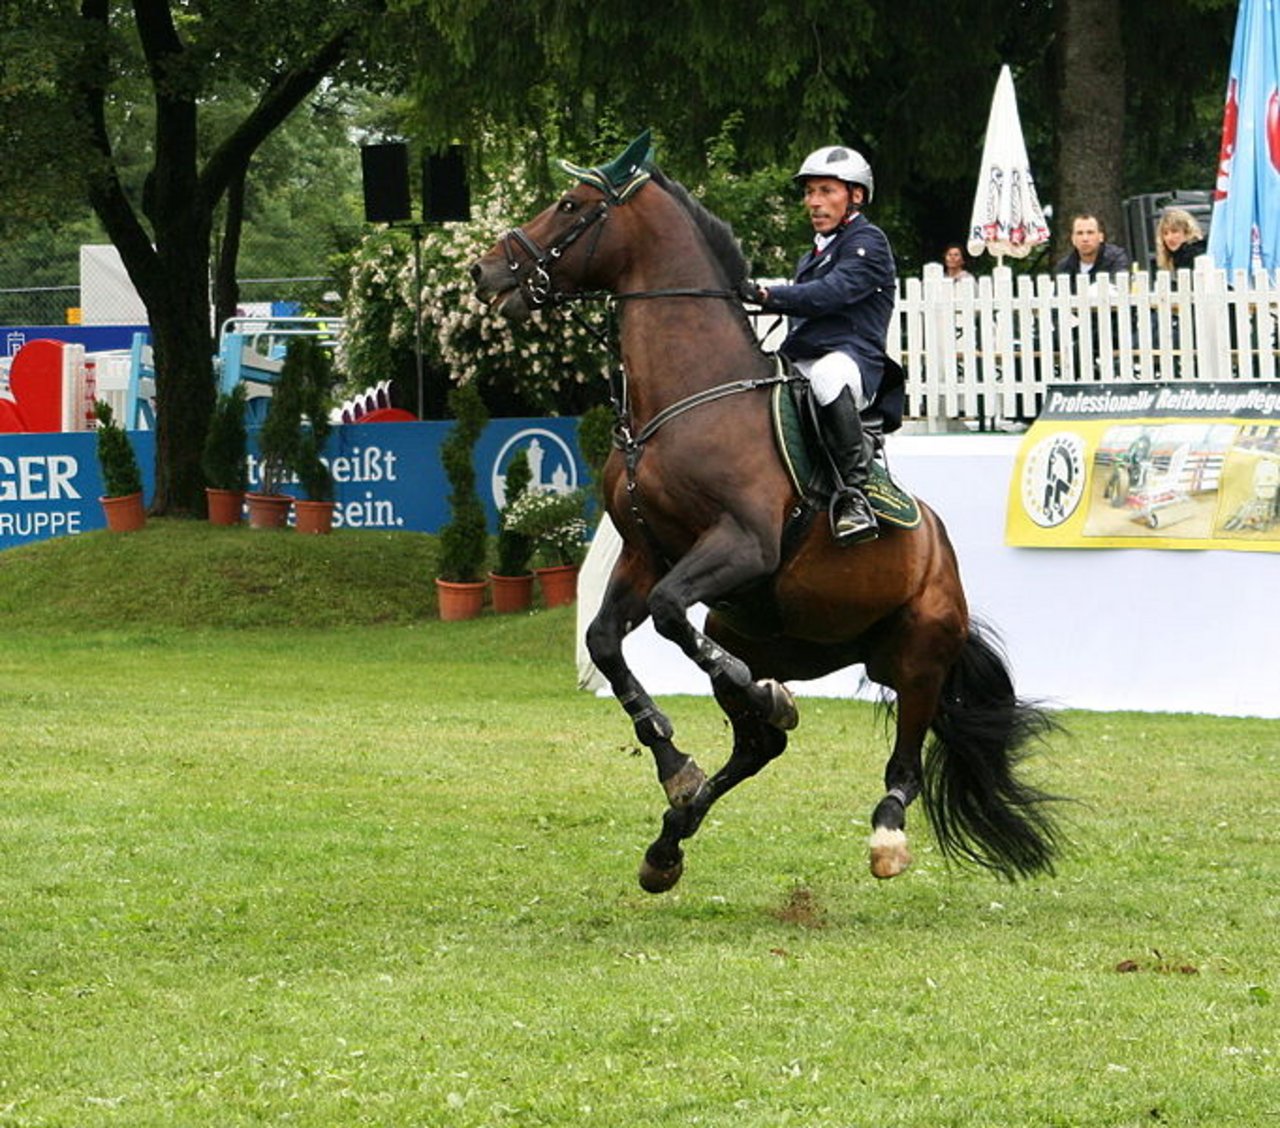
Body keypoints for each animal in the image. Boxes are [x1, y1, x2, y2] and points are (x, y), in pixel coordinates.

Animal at [471, 136, 1059, 891]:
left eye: (571, 206)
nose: (486, 271)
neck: (689, 397)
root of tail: (940, 549)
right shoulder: (646, 552)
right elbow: (607, 640)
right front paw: (675, 764)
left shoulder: (742, 546)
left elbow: (668, 613)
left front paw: (746, 705)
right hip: (774, 632)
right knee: (759, 745)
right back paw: (673, 836)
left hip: (920, 650)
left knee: (902, 761)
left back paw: (885, 834)